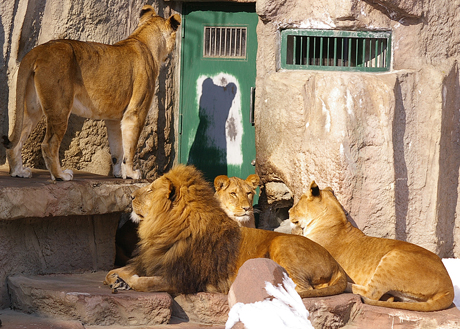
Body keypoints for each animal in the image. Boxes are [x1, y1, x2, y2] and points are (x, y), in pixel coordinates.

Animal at [2, 5, 181, 181]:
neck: (143, 38)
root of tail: (39, 50)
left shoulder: (114, 118)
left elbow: (117, 149)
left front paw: (118, 173)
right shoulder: (135, 112)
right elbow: (129, 148)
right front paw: (131, 174)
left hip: (33, 108)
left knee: (16, 141)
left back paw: (19, 171)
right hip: (60, 107)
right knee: (49, 144)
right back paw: (61, 175)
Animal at [104, 165, 346, 296]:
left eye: (151, 190)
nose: (130, 196)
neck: (163, 229)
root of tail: (338, 266)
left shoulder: (182, 279)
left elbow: (145, 283)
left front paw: (127, 282)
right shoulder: (152, 262)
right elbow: (113, 272)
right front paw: (117, 279)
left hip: (281, 243)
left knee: (302, 289)